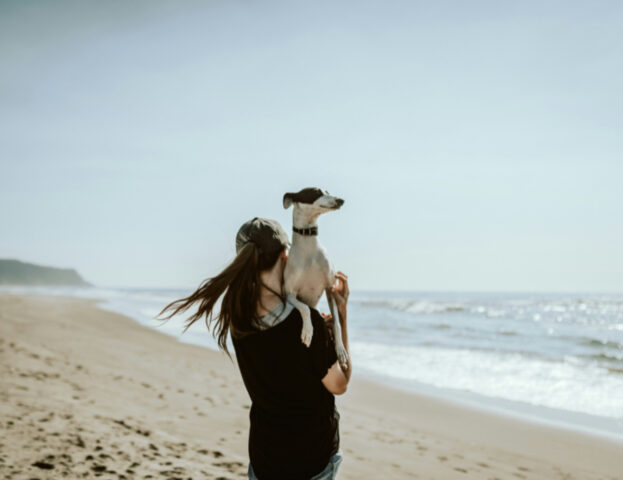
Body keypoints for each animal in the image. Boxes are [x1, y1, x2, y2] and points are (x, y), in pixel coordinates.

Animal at [284, 186, 348, 366]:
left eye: (328, 192)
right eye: (316, 192)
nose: (341, 200)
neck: (309, 249)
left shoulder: (330, 289)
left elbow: (337, 324)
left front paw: (340, 349)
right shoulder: (289, 294)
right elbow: (305, 308)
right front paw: (308, 332)